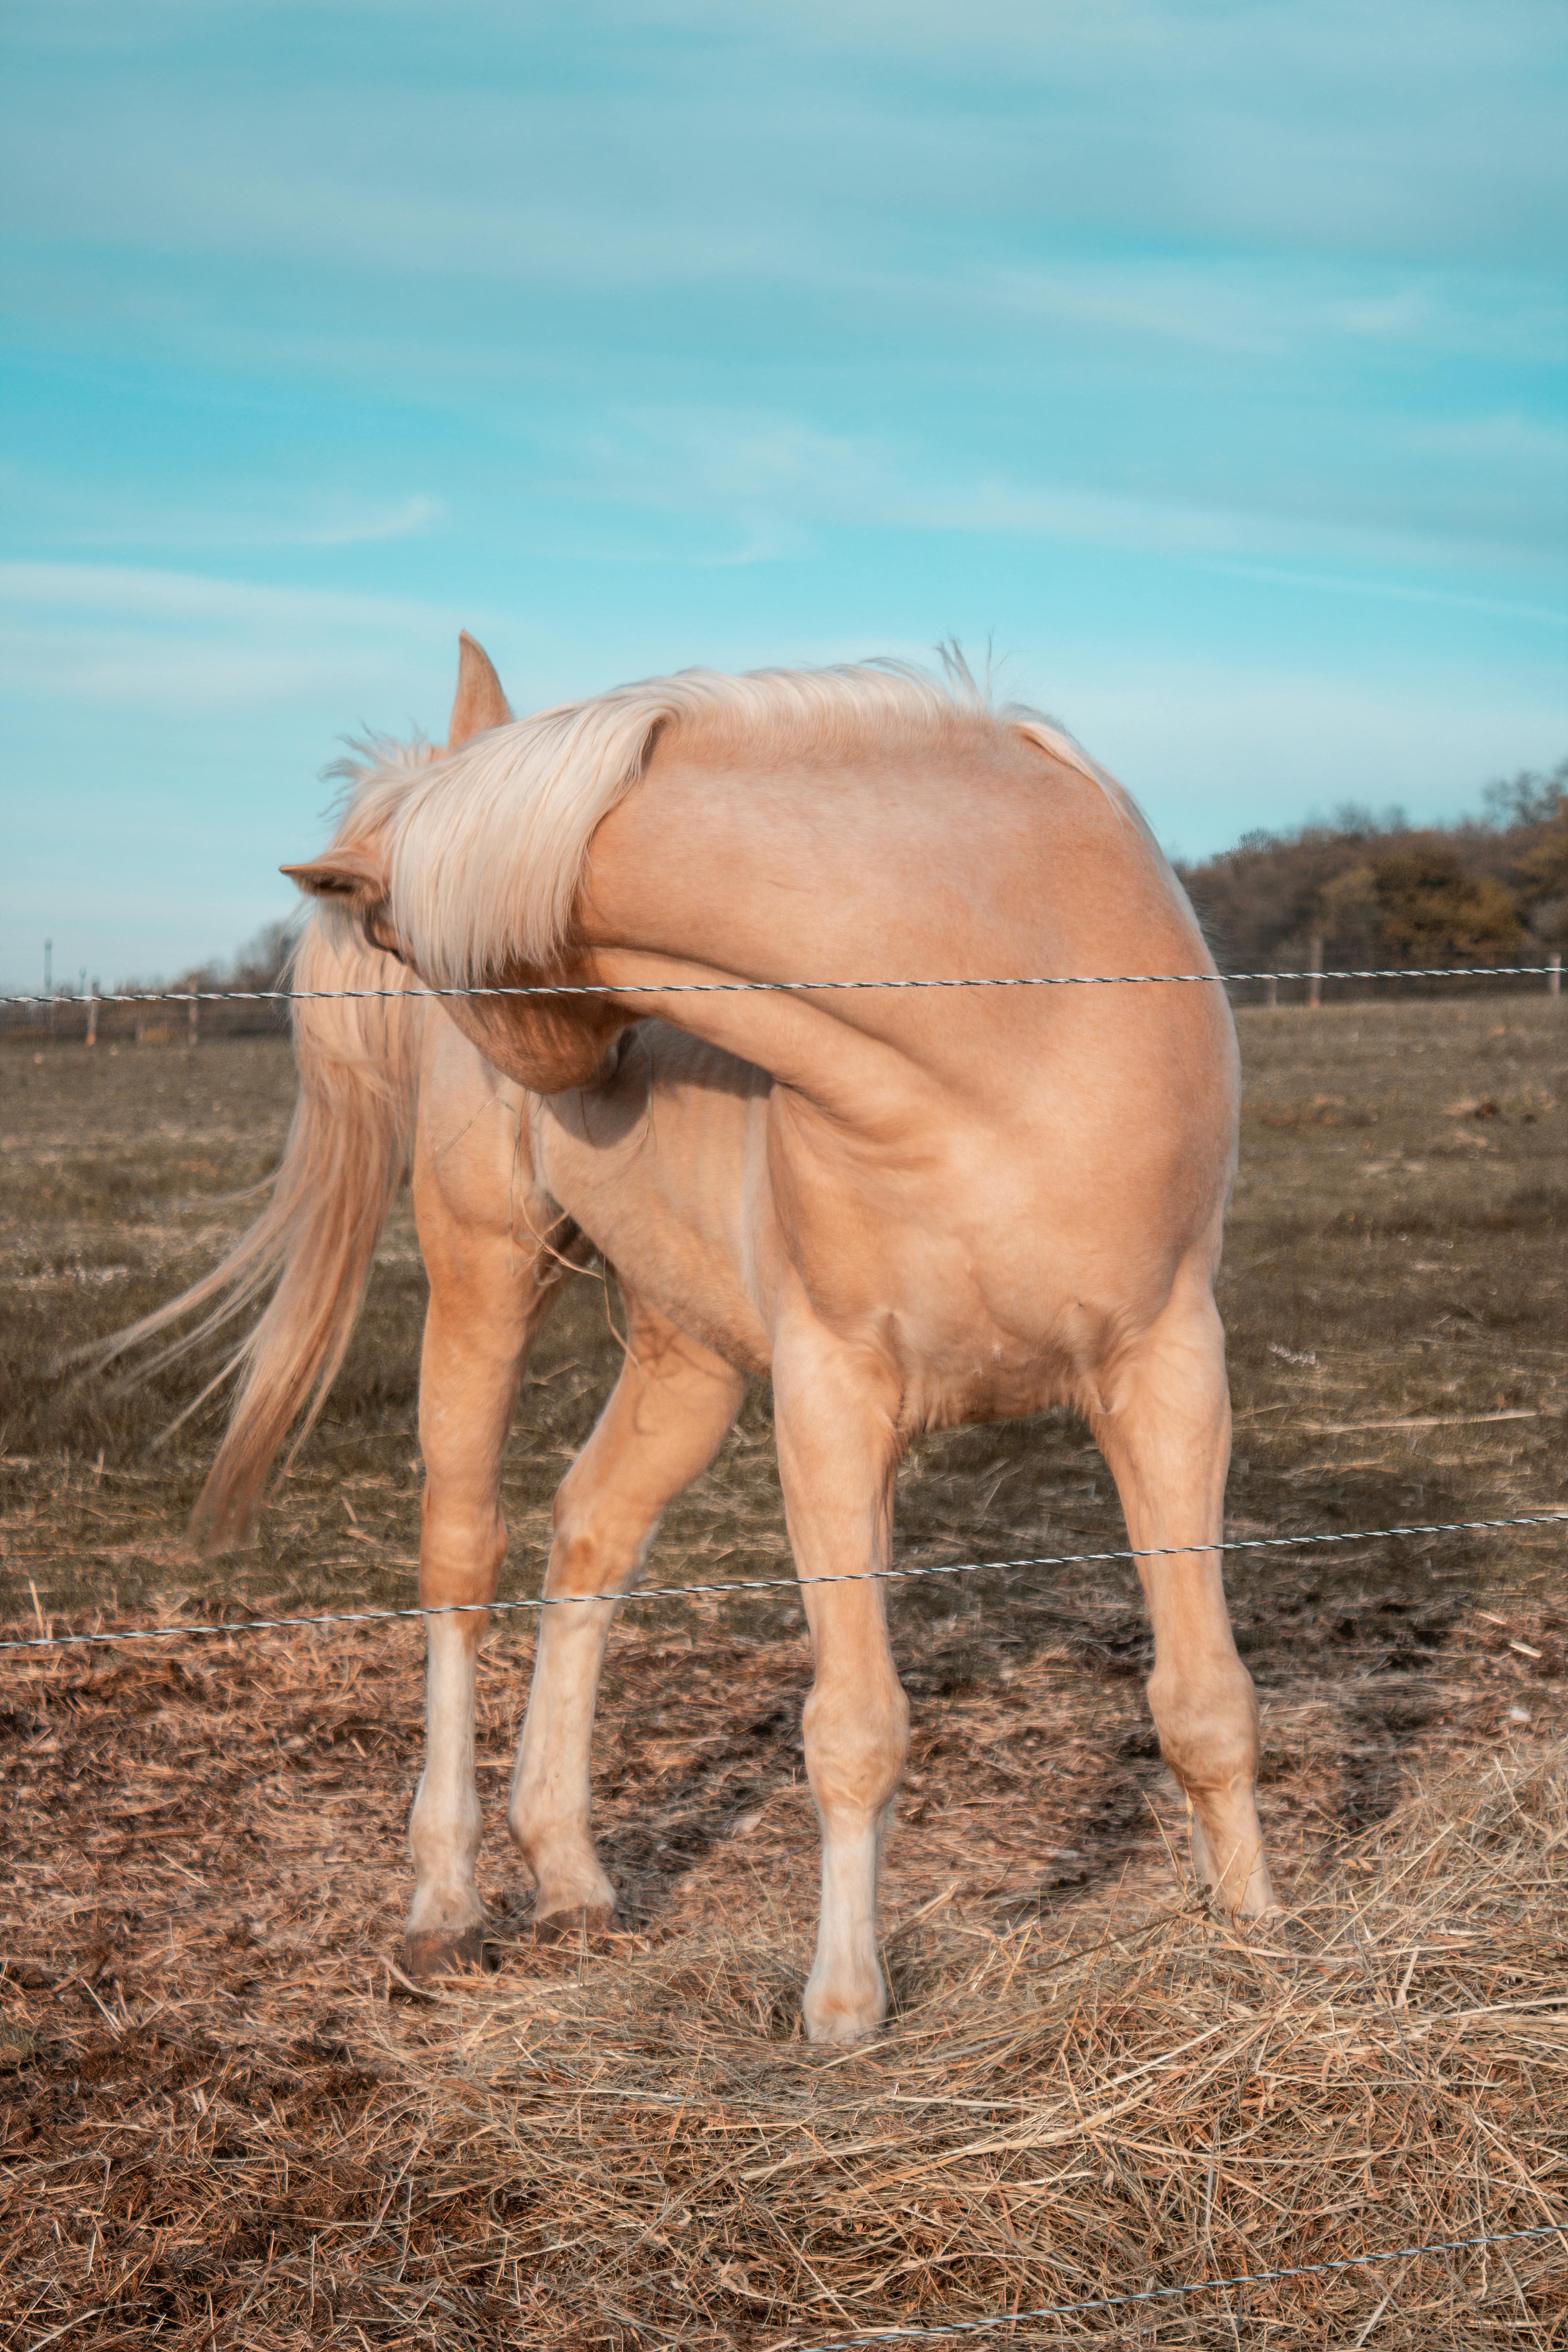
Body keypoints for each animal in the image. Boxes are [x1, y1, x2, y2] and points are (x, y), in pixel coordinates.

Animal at [113, 634, 1276, 2043]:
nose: (596, 1087)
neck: (1008, 1025)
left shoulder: (1167, 1370)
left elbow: (1205, 1699)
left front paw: (1262, 1942)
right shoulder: (835, 1396)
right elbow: (856, 1727)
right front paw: (843, 2011)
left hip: (693, 1353)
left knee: (589, 1536)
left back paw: (569, 1878)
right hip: (487, 1274)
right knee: (463, 1560)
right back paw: (446, 1902)